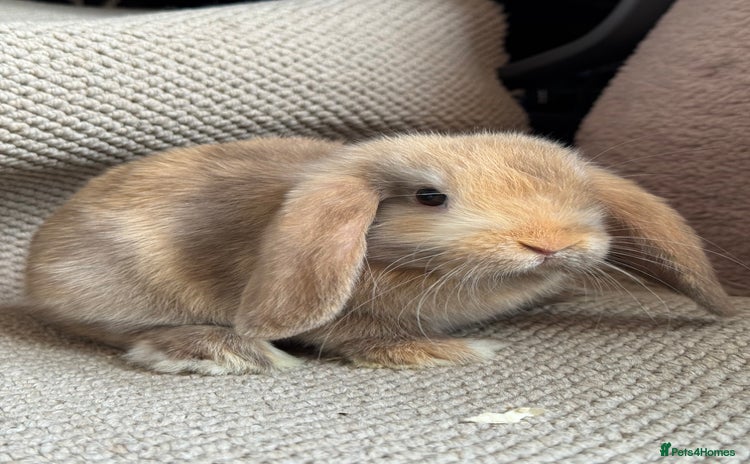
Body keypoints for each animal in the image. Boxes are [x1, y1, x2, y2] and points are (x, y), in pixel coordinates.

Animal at [23, 132, 735, 375]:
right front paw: (447, 352)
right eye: (429, 196)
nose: (549, 243)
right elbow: (364, 338)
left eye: (582, 198)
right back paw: (221, 351)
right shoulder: (350, 318)